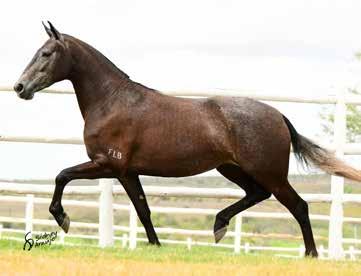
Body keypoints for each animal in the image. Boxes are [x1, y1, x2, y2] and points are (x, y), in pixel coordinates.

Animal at [12, 21, 360, 256]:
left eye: (46, 53)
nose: (20, 87)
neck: (111, 101)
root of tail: (278, 116)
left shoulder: (108, 165)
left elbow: (62, 176)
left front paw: (63, 218)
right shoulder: (128, 172)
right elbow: (143, 209)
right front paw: (155, 246)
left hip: (270, 173)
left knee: (298, 206)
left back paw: (311, 254)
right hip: (232, 168)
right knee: (257, 194)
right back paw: (219, 226)